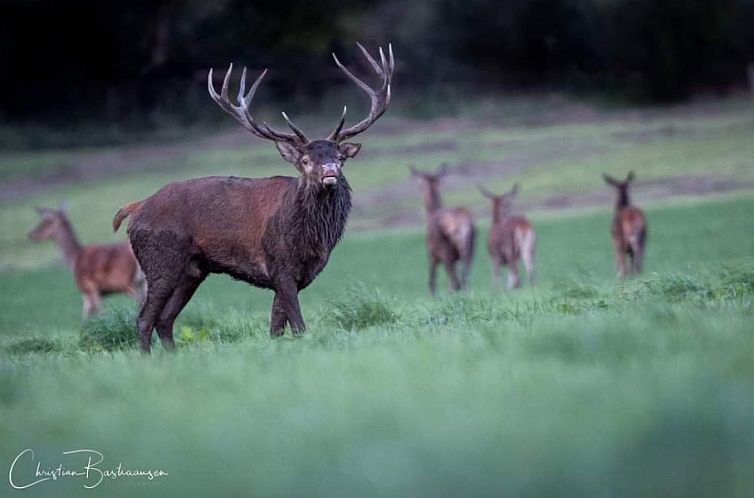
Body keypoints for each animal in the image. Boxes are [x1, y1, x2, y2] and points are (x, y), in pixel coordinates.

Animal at [113, 43, 394, 354]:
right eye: (306, 160)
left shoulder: (296, 275)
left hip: (192, 271)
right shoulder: (280, 265)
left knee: (165, 319)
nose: (330, 171)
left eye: (340, 157)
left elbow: (276, 328)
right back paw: (148, 358)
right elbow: (298, 326)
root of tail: (136, 207)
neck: (311, 241)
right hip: (160, 261)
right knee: (144, 318)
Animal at [408, 165, 472, 294]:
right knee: (464, 280)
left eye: (419, 185)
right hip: (469, 250)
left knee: (455, 282)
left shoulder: (432, 255)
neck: (431, 213)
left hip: (445, 252)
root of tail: (463, 224)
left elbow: (432, 283)